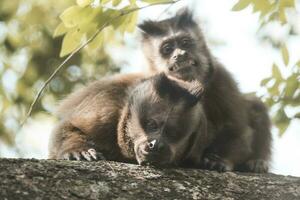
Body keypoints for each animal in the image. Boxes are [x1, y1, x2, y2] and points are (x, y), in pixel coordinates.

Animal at [138, 8, 272, 173]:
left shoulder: (222, 77)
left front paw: (221, 160)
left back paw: (257, 162)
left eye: (185, 43)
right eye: (167, 49)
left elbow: (238, 129)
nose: (180, 55)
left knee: (255, 106)